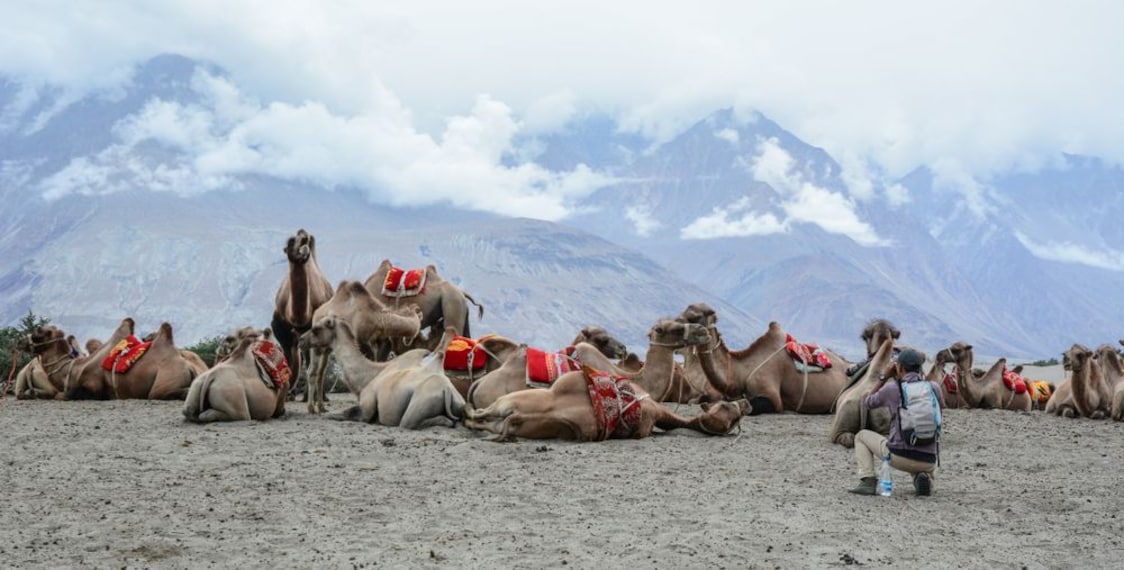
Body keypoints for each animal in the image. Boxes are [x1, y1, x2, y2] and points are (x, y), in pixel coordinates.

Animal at [270, 228, 334, 399]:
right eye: (291, 241)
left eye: (302, 237)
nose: (304, 237)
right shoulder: (281, 329)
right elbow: (287, 358)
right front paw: (285, 395)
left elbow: (311, 361)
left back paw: (318, 396)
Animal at [302, 280, 425, 414]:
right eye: (420, 316)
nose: (409, 340)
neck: (377, 318)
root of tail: (316, 313)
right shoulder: (362, 340)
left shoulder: (381, 341)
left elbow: (378, 363)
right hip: (316, 346)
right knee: (312, 371)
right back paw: (311, 408)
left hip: (326, 348)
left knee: (321, 373)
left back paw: (322, 407)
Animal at [328, 326, 466, 429]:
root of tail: (447, 391)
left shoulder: (367, 403)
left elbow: (352, 413)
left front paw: (329, 414)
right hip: (458, 403)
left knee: (408, 422)